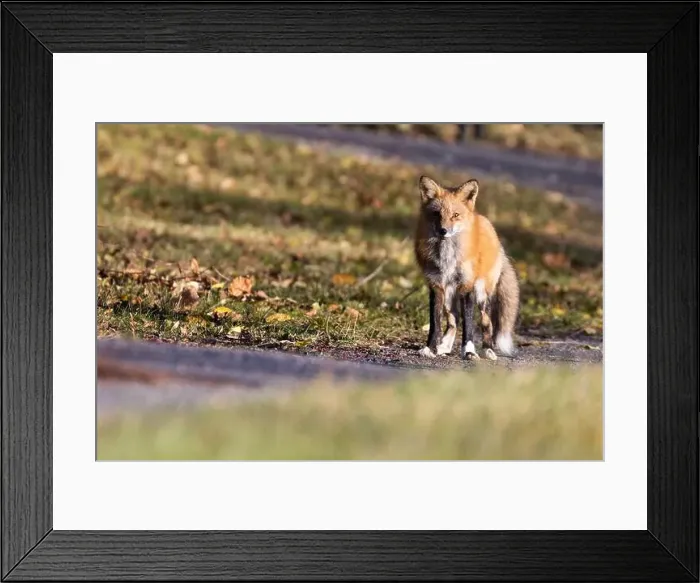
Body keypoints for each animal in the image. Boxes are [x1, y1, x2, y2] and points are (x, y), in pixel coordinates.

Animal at [413, 175, 519, 361]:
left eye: (455, 215)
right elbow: (435, 323)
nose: (443, 231)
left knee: (486, 323)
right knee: (453, 321)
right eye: (436, 214)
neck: (447, 256)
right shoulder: (435, 286)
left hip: (482, 293)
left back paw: (488, 349)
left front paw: (469, 351)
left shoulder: (466, 286)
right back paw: (444, 347)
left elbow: (469, 324)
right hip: (449, 295)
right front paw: (430, 348)